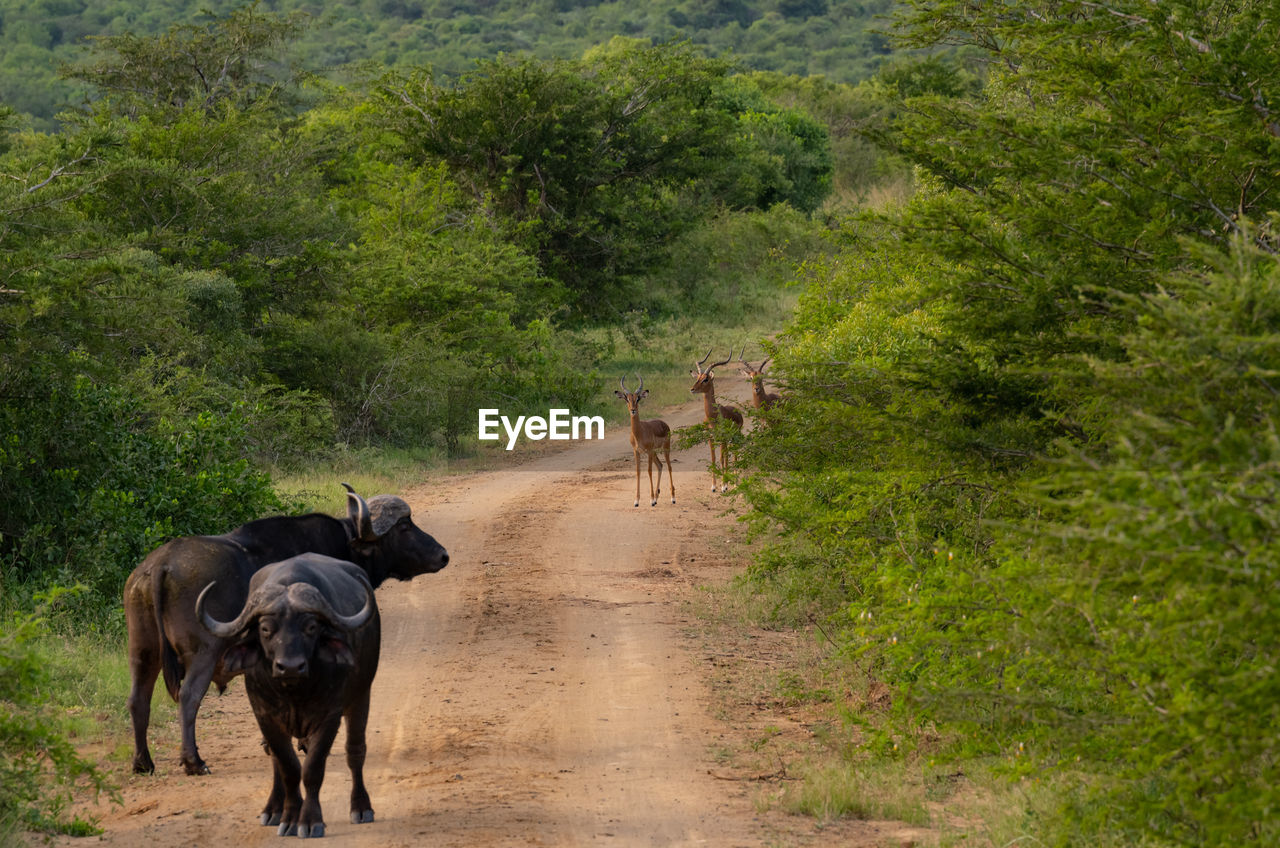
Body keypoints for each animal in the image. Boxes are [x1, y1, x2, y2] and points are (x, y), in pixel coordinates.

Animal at [124, 484, 445, 778]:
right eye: (404, 526)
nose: (443, 555)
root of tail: (162, 564)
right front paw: (301, 743)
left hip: (143, 652)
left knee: (138, 700)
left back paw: (143, 763)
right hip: (204, 653)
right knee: (189, 697)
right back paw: (194, 762)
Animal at [197, 555, 378, 840]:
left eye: (311, 627)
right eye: (265, 629)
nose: (290, 666)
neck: (293, 691)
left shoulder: (329, 716)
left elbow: (313, 768)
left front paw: (310, 821)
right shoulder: (265, 716)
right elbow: (288, 767)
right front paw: (290, 817)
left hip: (361, 696)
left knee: (355, 751)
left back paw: (361, 807)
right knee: (275, 759)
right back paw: (273, 809)